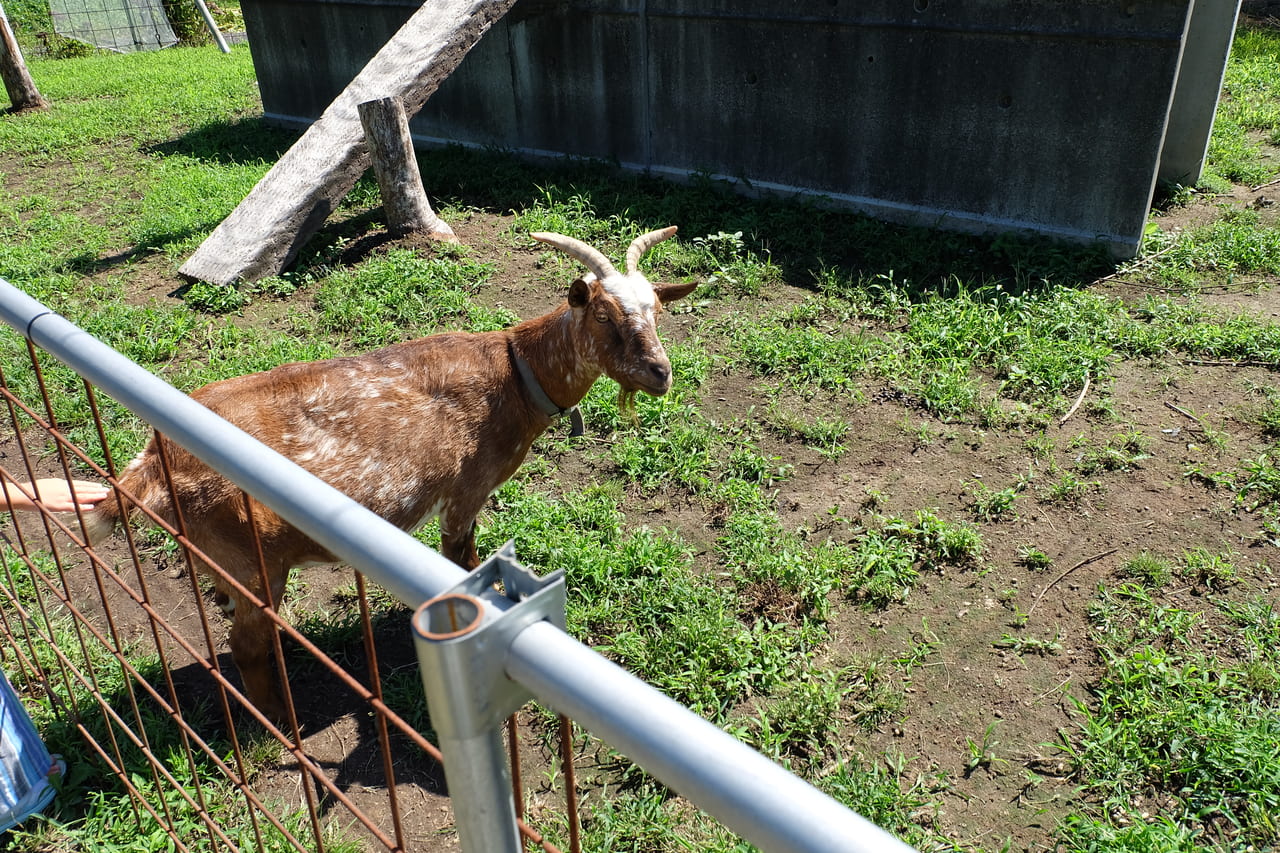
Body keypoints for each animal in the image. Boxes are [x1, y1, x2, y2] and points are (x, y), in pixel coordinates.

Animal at [85, 227, 696, 717]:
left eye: (658, 311)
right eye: (604, 315)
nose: (660, 373)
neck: (514, 373)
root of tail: (155, 458)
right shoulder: (464, 493)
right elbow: (463, 561)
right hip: (254, 562)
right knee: (247, 647)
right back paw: (281, 723)